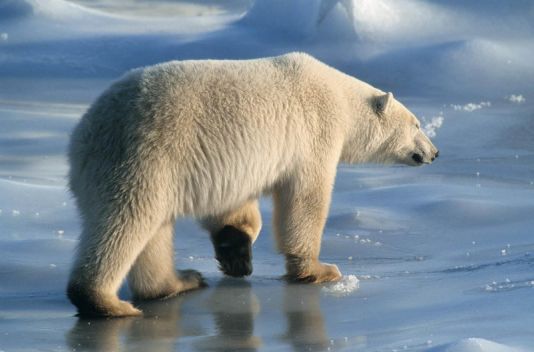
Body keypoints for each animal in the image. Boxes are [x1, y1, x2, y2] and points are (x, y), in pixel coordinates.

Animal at [66, 52, 440, 316]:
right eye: (417, 124)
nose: (434, 152)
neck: (340, 98)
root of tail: (83, 135)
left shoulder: (229, 165)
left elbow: (232, 204)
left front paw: (236, 250)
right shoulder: (315, 134)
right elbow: (305, 199)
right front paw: (319, 269)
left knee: (153, 232)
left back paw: (179, 281)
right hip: (145, 158)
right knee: (125, 222)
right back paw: (104, 302)